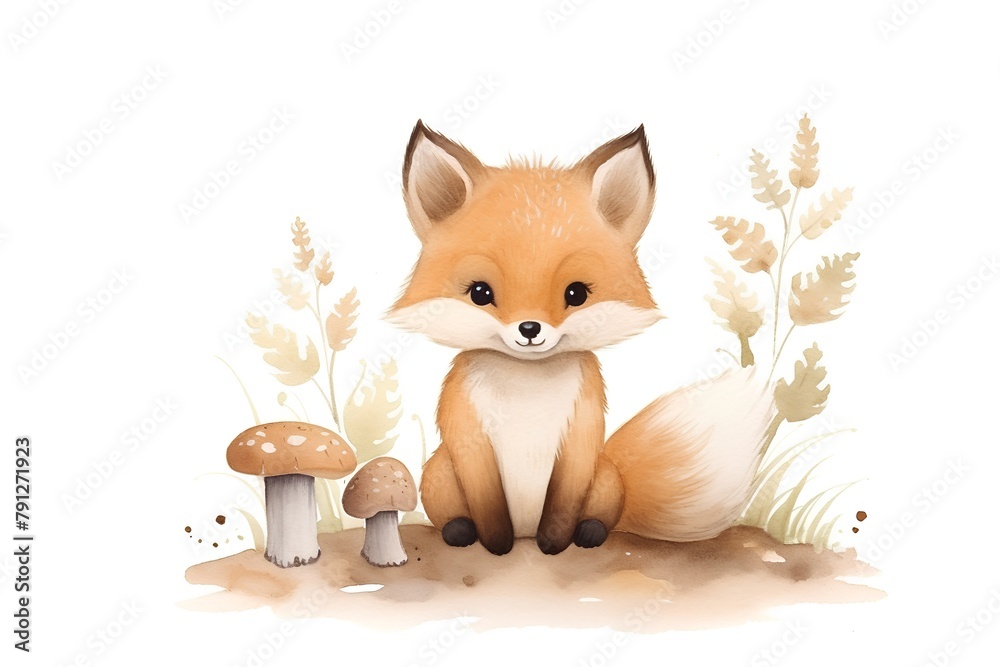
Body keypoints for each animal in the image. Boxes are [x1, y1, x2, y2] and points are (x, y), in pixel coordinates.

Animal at [389, 120, 774, 556]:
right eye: (480, 293)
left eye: (575, 294)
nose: (529, 329)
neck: (527, 390)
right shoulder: (468, 432)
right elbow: (488, 506)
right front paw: (498, 545)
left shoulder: (582, 429)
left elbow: (564, 502)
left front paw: (554, 545)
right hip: (438, 472)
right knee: (452, 513)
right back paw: (459, 531)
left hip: (604, 475)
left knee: (602, 516)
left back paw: (590, 532)